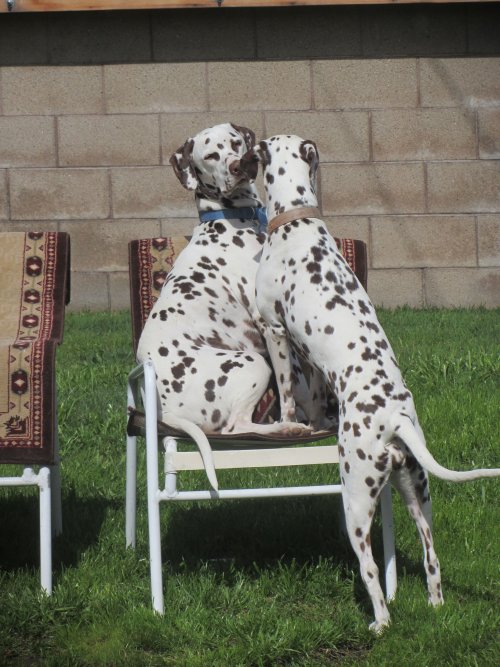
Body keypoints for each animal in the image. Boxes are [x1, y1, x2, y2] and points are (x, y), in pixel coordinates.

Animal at [135, 124, 310, 490]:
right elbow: (289, 388)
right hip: (253, 363)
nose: (237, 165)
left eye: (235, 143)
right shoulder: (270, 327)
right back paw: (285, 427)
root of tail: (162, 408)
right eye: (211, 155)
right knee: (236, 427)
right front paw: (292, 416)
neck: (235, 220)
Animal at [239, 134, 500, 632]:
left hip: (356, 500)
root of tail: (394, 418)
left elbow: (286, 395)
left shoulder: (275, 331)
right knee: (432, 558)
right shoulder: (309, 358)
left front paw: (288, 421)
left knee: (372, 568)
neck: (296, 219)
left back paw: (380, 622)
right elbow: (313, 395)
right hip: (417, 493)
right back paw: (434, 607)